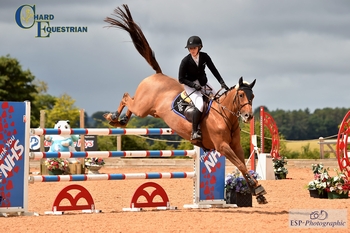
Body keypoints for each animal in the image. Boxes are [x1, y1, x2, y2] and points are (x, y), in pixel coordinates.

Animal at [104, 4, 268, 204]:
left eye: (253, 96)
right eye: (242, 95)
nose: (248, 116)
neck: (224, 116)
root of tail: (158, 74)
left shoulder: (235, 146)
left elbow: (243, 165)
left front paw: (256, 192)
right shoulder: (222, 146)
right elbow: (241, 165)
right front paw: (258, 189)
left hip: (147, 110)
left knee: (130, 105)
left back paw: (121, 121)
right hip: (142, 107)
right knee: (127, 97)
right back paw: (113, 117)